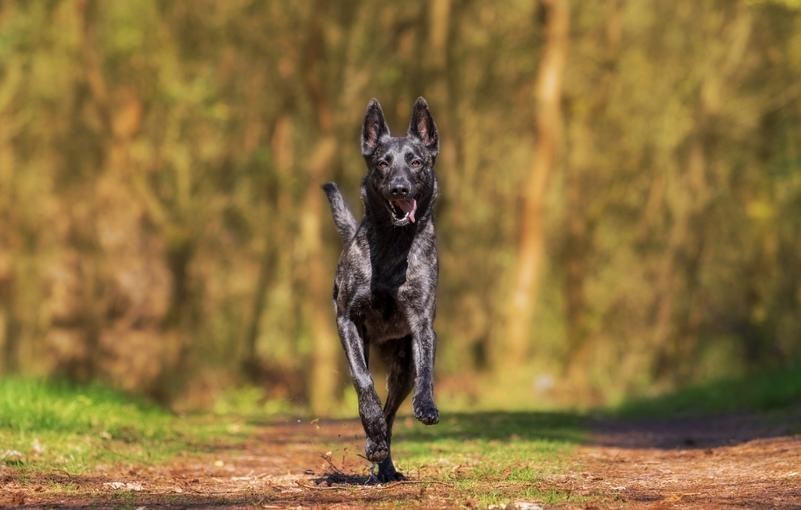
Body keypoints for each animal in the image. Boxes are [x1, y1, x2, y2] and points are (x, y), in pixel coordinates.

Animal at [322, 96, 440, 482]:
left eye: (416, 161)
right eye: (383, 163)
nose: (400, 188)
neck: (392, 243)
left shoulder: (422, 323)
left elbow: (427, 369)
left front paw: (427, 406)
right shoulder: (347, 321)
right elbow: (363, 383)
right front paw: (370, 429)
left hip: (402, 369)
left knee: (392, 411)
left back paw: (385, 463)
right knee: (376, 404)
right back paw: (375, 445)